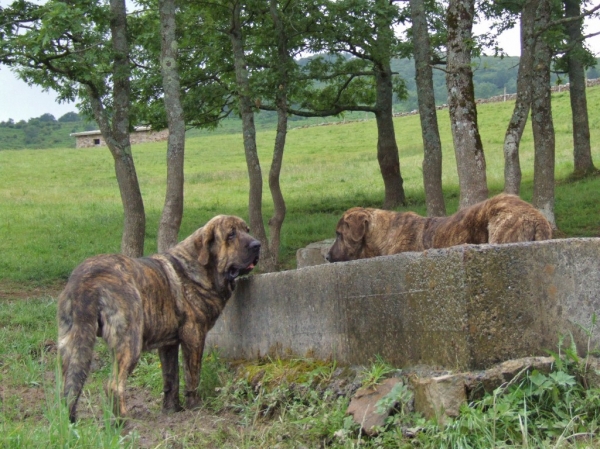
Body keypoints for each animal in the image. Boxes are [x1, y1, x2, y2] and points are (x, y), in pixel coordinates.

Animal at [56, 215, 260, 422]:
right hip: (130, 343)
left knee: (69, 387)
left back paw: (70, 422)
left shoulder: (168, 344)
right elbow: (192, 374)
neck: (203, 269)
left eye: (247, 230)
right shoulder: (194, 336)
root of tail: (88, 280)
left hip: (73, 345)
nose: (257, 244)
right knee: (113, 385)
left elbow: (171, 378)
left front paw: (172, 409)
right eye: (231, 234)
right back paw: (123, 421)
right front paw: (195, 406)